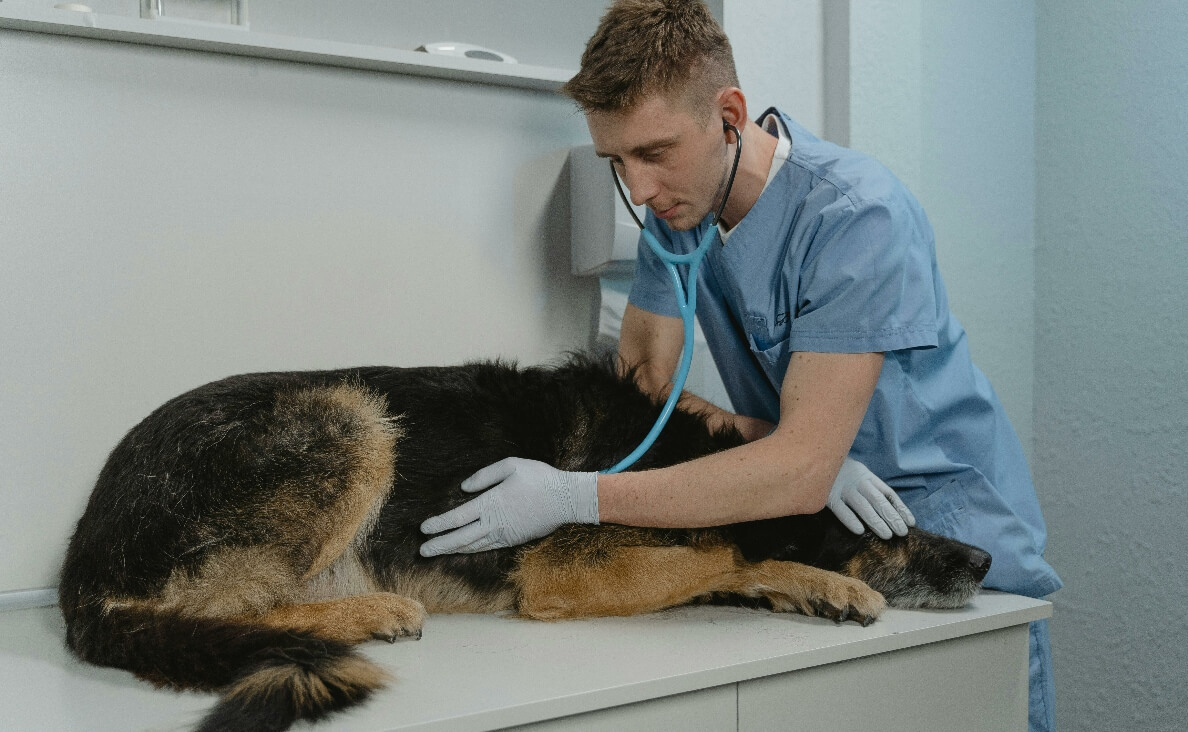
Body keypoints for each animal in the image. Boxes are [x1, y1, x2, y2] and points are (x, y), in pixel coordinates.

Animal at [62, 351, 993, 727]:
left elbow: (726, 560)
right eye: (890, 530)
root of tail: (81, 567)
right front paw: (819, 576)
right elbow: (723, 550)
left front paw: (813, 589)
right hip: (350, 415)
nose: (983, 561)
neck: (682, 459)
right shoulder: (562, 572)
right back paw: (367, 615)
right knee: (218, 607)